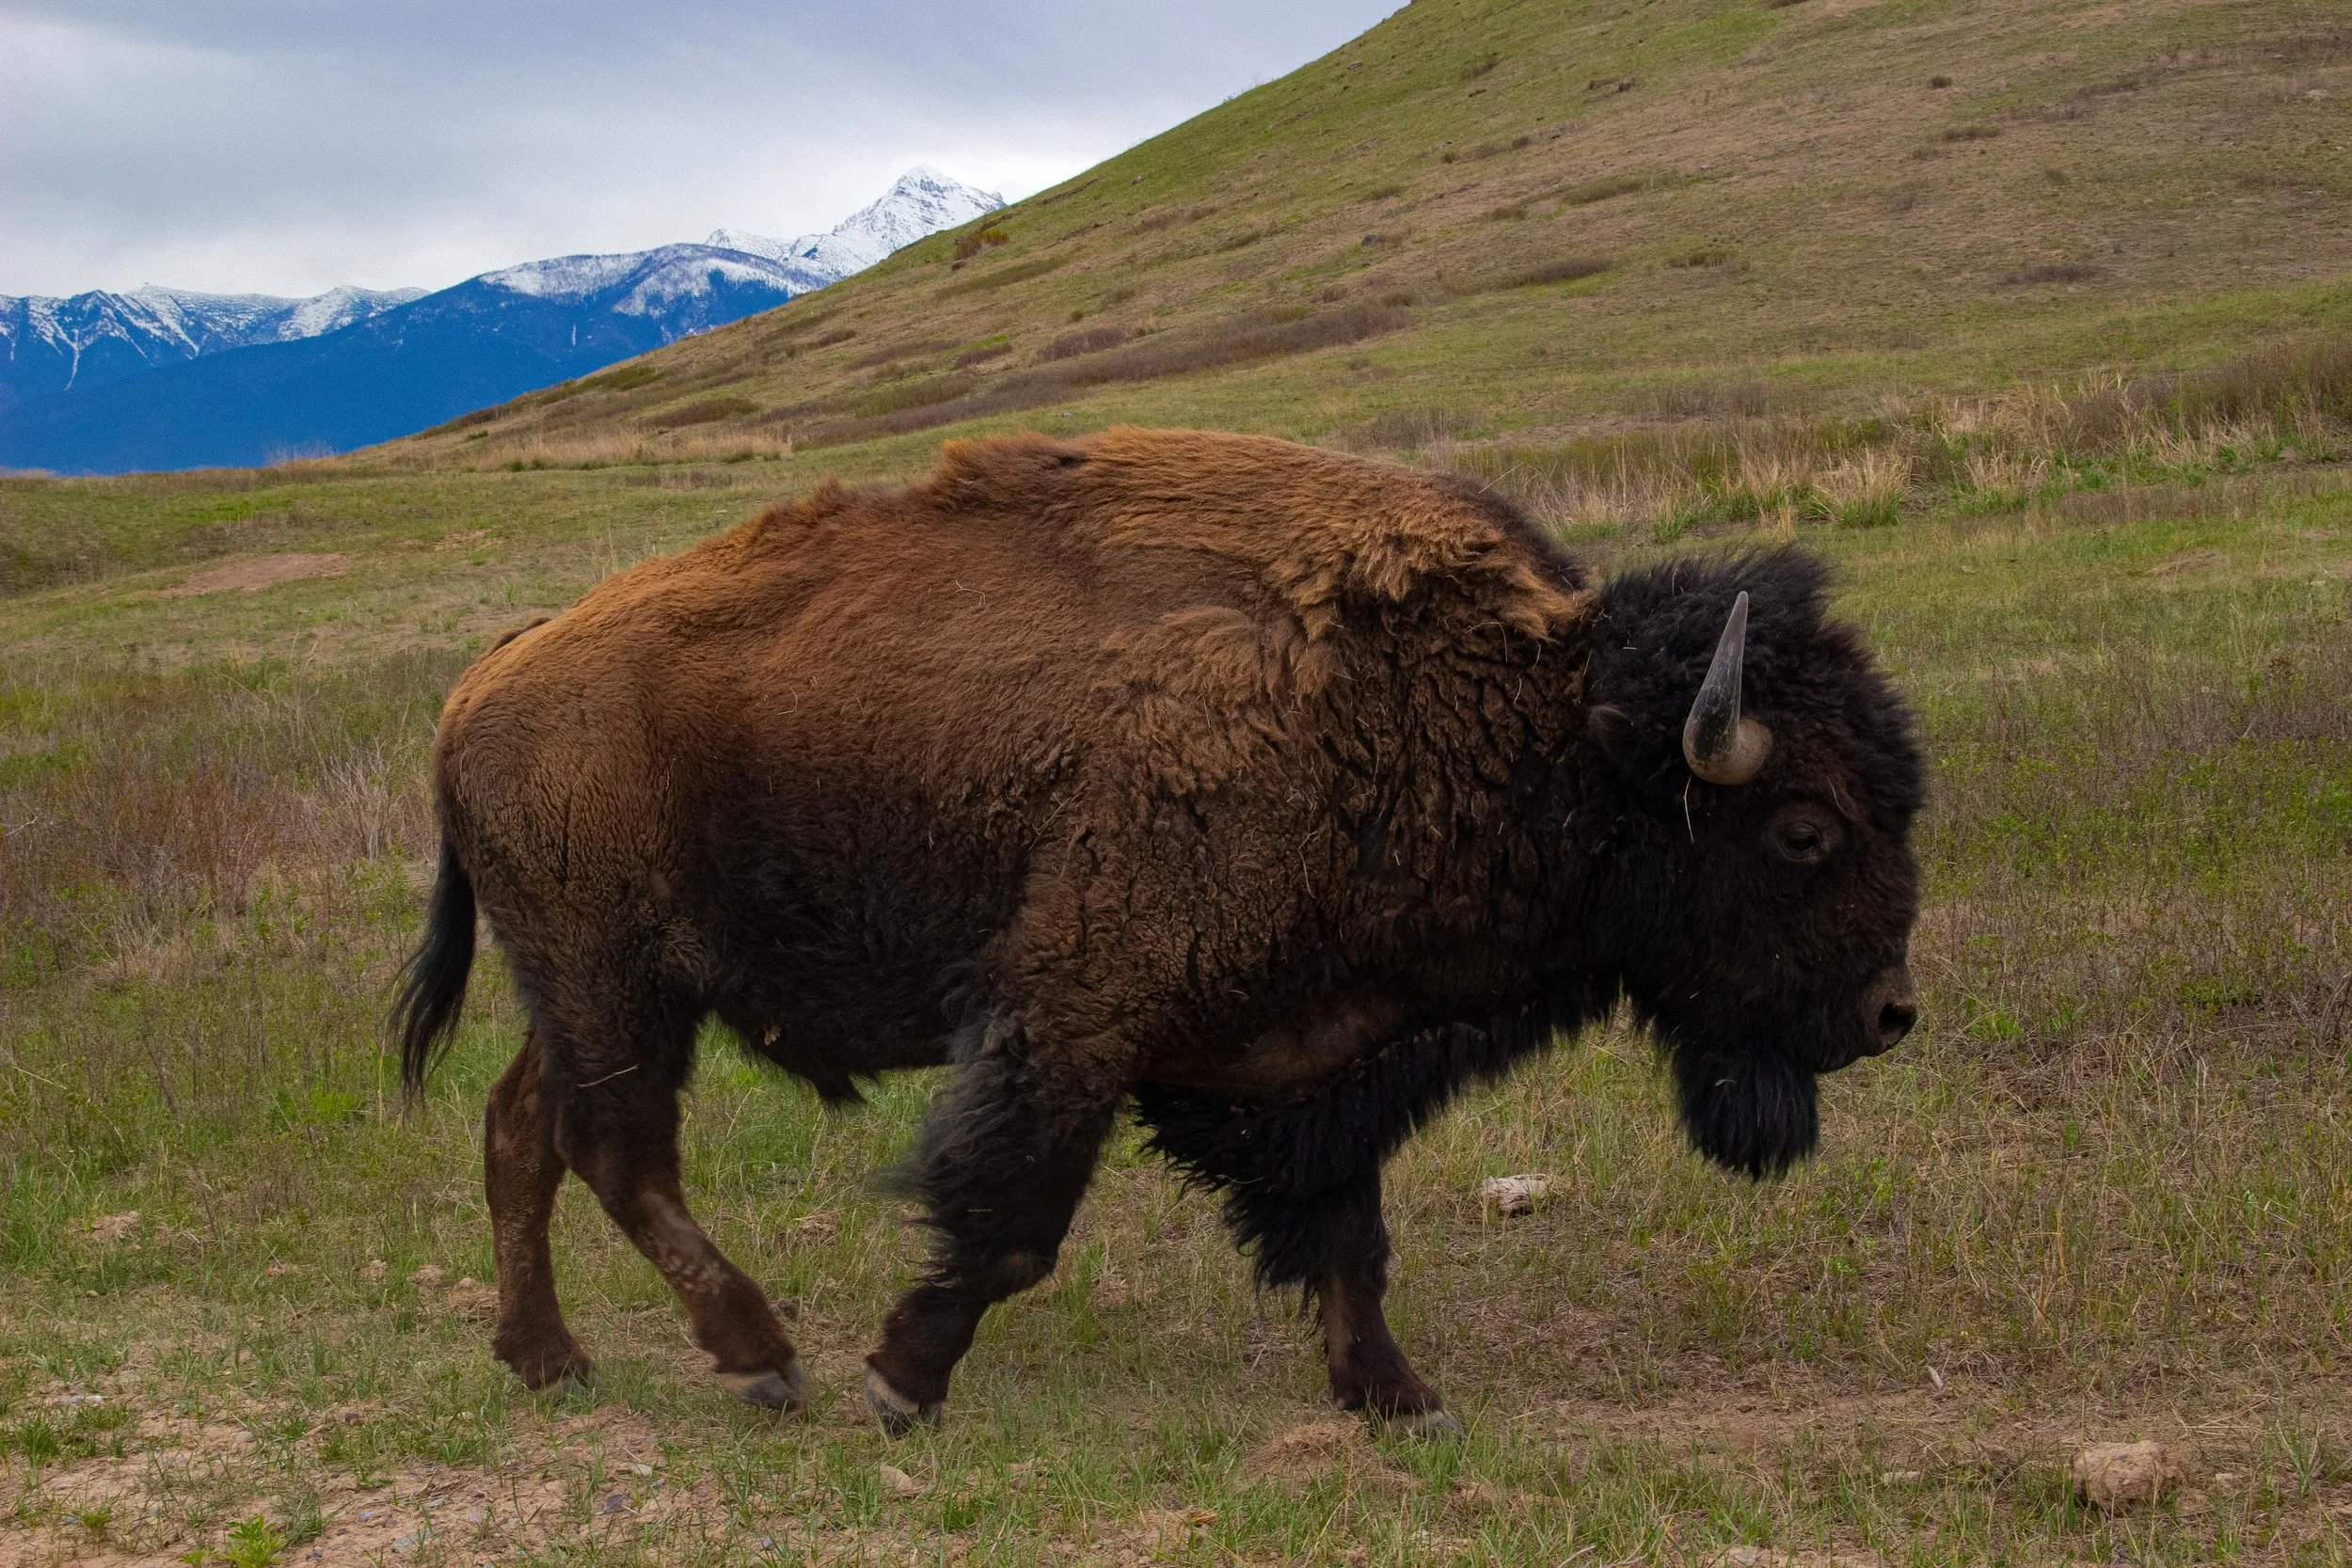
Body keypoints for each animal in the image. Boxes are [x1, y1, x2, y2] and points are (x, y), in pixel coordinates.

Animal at [395, 426, 1922, 1436]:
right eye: (1806, 830)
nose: (1888, 1011)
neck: (1535, 726)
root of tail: (490, 673)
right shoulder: (1075, 1018)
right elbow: (1014, 1222)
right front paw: (902, 1378)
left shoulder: (1323, 1057)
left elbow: (1349, 1230)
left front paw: (1397, 1395)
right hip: (615, 981)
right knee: (613, 1146)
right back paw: (763, 1357)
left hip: (587, 988)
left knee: (523, 1128)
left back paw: (548, 1358)